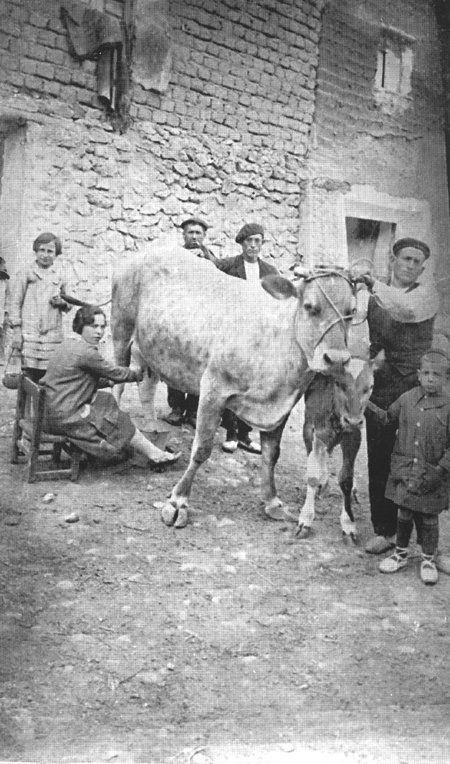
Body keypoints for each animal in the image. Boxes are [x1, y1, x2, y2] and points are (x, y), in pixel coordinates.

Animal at [111, 246, 356, 528]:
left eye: (352, 311)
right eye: (309, 307)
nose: (336, 360)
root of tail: (147, 250)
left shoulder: (280, 406)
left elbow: (271, 454)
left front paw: (272, 502)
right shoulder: (213, 388)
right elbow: (201, 449)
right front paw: (177, 502)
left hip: (150, 348)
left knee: (146, 387)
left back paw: (152, 427)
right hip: (121, 330)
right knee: (118, 382)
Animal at [296, 352, 384, 542]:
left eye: (370, 387)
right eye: (339, 384)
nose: (353, 421)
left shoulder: (354, 436)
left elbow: (346, 479)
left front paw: (348, 525)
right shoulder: (312, 430)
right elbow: (312, 475)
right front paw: (305, 520)